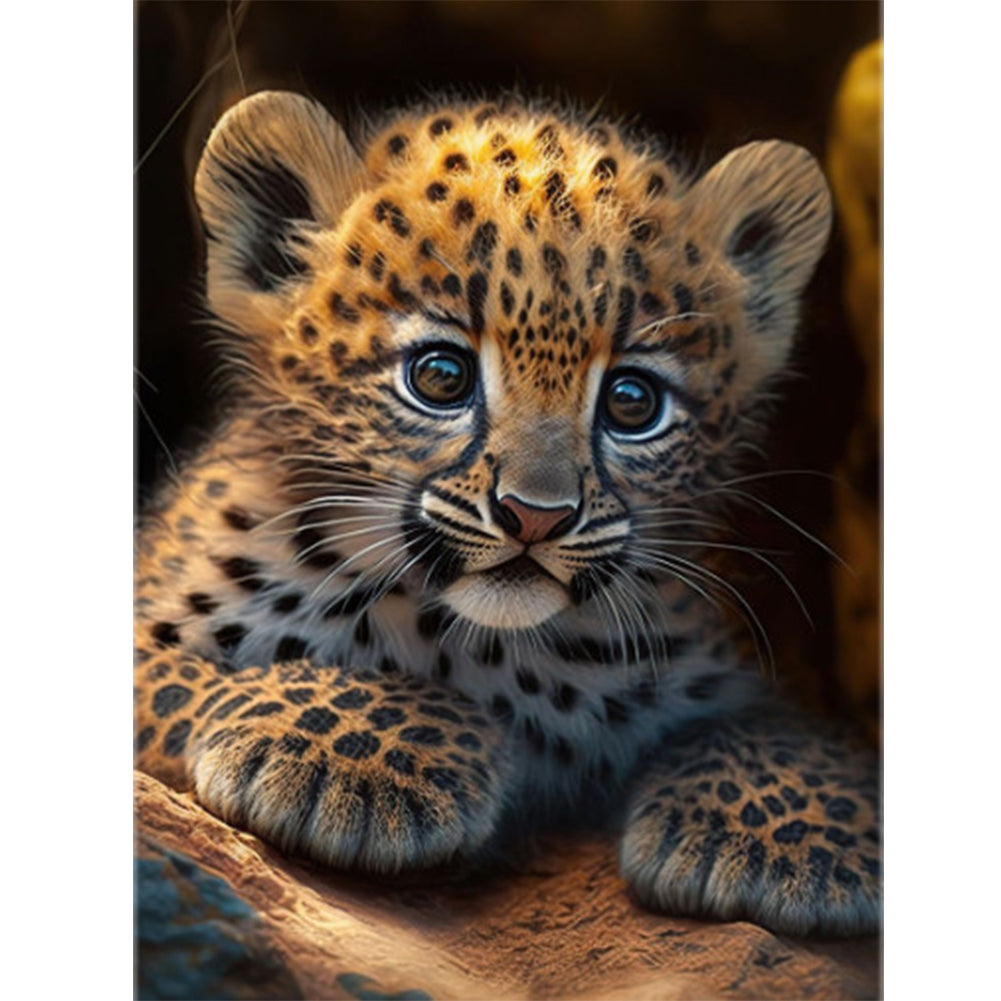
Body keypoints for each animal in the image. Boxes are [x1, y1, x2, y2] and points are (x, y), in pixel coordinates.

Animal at [134, 90, 880, 937]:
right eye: (439, 376)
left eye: (632, 401)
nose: (535, 515)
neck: (483, 650)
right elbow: (182, 673)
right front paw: (355, 749)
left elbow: (774, 728)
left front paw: (785, 835)